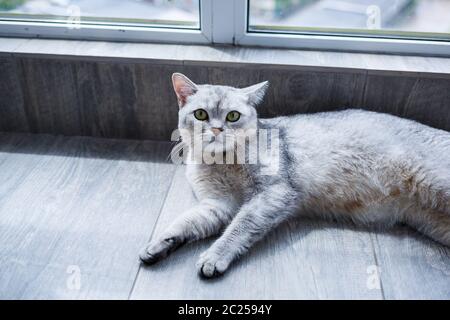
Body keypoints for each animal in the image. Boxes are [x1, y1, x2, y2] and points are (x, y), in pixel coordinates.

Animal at [139, 72, 448, 278]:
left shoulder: (274, 192)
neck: (221, 162)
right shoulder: (218, 205)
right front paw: (158, 244)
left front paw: (215, 256)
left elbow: (240, 226)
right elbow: (185, 223)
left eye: (232, 116)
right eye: (201, 114)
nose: (216, 129)